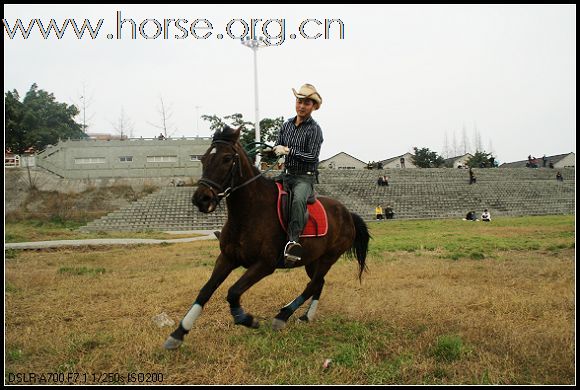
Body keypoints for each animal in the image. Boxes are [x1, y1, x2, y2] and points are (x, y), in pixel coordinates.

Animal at [165, 125, 370, 350]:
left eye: (227, 158)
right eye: (202, 159)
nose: (201, 199)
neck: (250, 211)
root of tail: (348, 213)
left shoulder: (264, 264)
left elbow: (233, 292)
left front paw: (245, 318)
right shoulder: (227, 258)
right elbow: (205, 291)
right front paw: (178, 333)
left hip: (329, 257)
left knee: (313, 284)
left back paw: (283, 316)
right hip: (312, 260)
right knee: (319, 283)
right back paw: (306, 316)